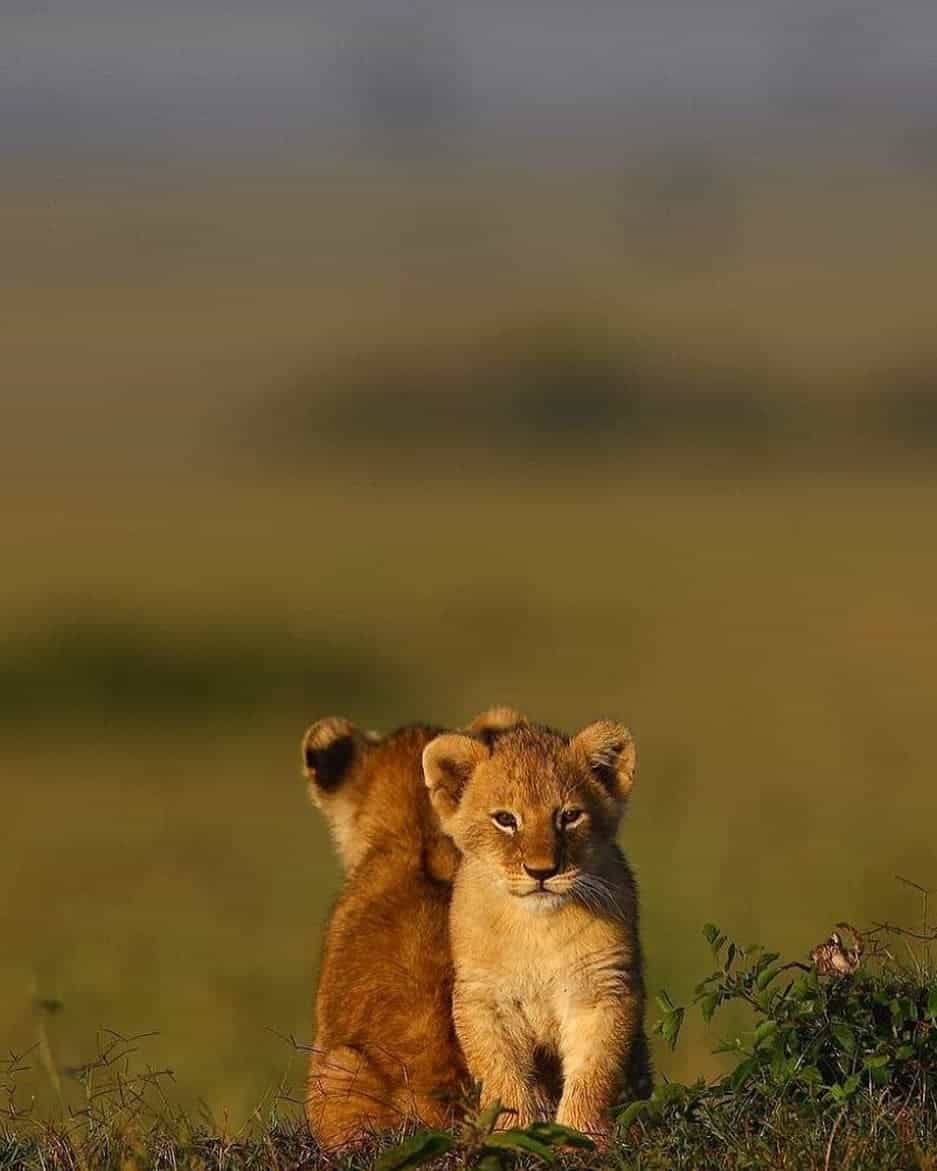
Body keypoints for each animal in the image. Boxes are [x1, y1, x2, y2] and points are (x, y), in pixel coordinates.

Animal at [423, 719, 651, 1141]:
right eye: (505, 819)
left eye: (569, 816)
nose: (542, 871)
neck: (537, 927)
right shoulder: (485, 998)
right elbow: (502, 1078)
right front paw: (512, 1134)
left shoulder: (601, 988)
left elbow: (593, 1072)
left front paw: (579, 1135)